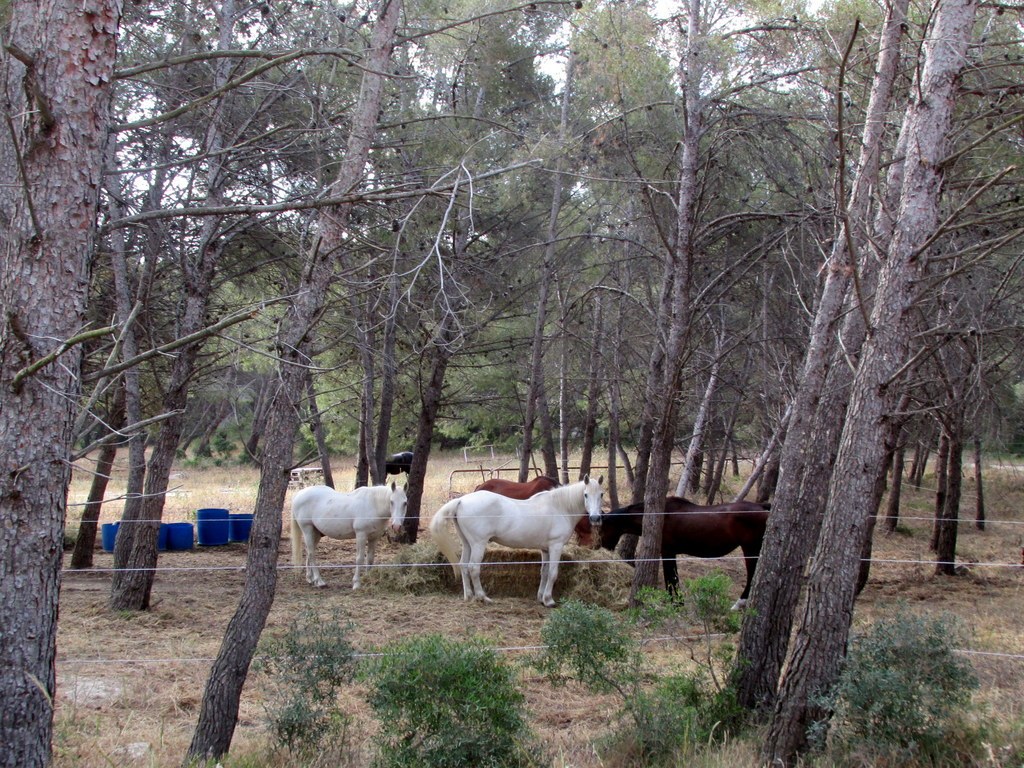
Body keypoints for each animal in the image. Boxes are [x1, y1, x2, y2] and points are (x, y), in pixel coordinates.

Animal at [430, 475, 602, 606]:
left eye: (601, 494)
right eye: (586, 494)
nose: (595, 518)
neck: (560, 508)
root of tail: (461, 501)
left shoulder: (545, 549)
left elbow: (544, 572)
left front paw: (541, 598)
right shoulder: (556, 546)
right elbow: (553, 573)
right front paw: (549, 600)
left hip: (467, 544)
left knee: (464, 566)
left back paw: (469, 596)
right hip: (478, 544)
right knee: (473, 568)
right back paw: (483, 597)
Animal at [593, 499, 770, 614]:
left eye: (602, 528)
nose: (600, 546)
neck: (661, 515)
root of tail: (763, 507)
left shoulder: (667, 552)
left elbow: (671, 579)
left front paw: (675, 603)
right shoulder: (669, 553)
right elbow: (672, 578)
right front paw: (677, 602)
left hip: (750, 549)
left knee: (751, 575)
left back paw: (739, 604)